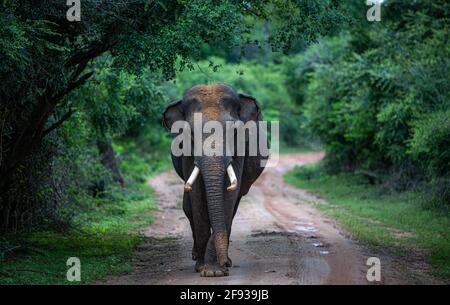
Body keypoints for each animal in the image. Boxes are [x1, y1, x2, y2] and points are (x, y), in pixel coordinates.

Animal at [163, 82, 266, 276]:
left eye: (234, 132)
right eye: (190, 133)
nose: (223, 264)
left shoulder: (239, 149)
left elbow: (229, 197)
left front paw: (214, 270)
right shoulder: (187, 151)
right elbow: (196, 195)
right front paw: (203, 268)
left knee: (234, 206)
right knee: (188, 207)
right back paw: (197, 256)